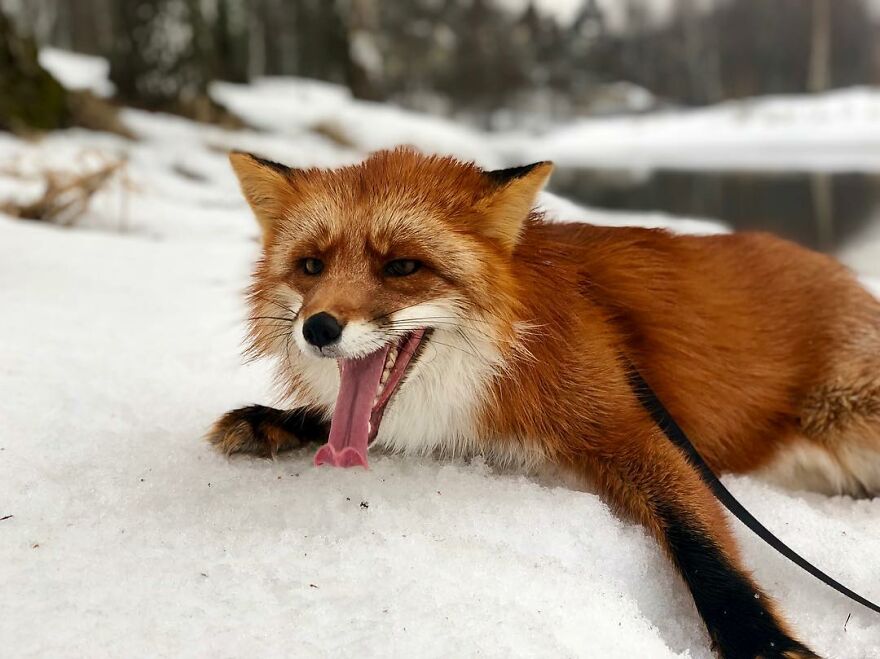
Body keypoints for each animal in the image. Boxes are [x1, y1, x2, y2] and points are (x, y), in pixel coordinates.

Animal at [209, 147, 880, 659]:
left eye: (401, 266)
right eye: (311, 266)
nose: (319, 328)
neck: (504, 355)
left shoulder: (628, 424)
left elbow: (699, 541)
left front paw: (761, 642)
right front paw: (273, 421)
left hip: (850, 416)